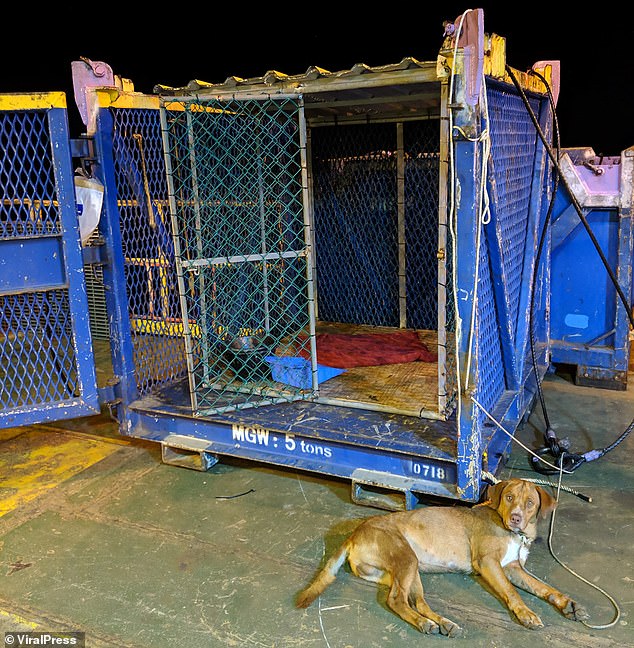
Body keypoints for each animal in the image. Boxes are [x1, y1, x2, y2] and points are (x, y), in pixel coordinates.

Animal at [296, 478, 588, 636]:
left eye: (530, 504)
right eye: (508, 497)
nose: (516, 518)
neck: (516, 535)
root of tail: (354, 534)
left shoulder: (513, 567)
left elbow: (544, 587)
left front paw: (568, 604)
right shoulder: (489, 563)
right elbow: (512, 592)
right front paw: (526, 613)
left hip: (409, 570)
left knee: (417, 602)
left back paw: (444, 624)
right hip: (406, 558)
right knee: (395, 601)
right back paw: (424, 624)